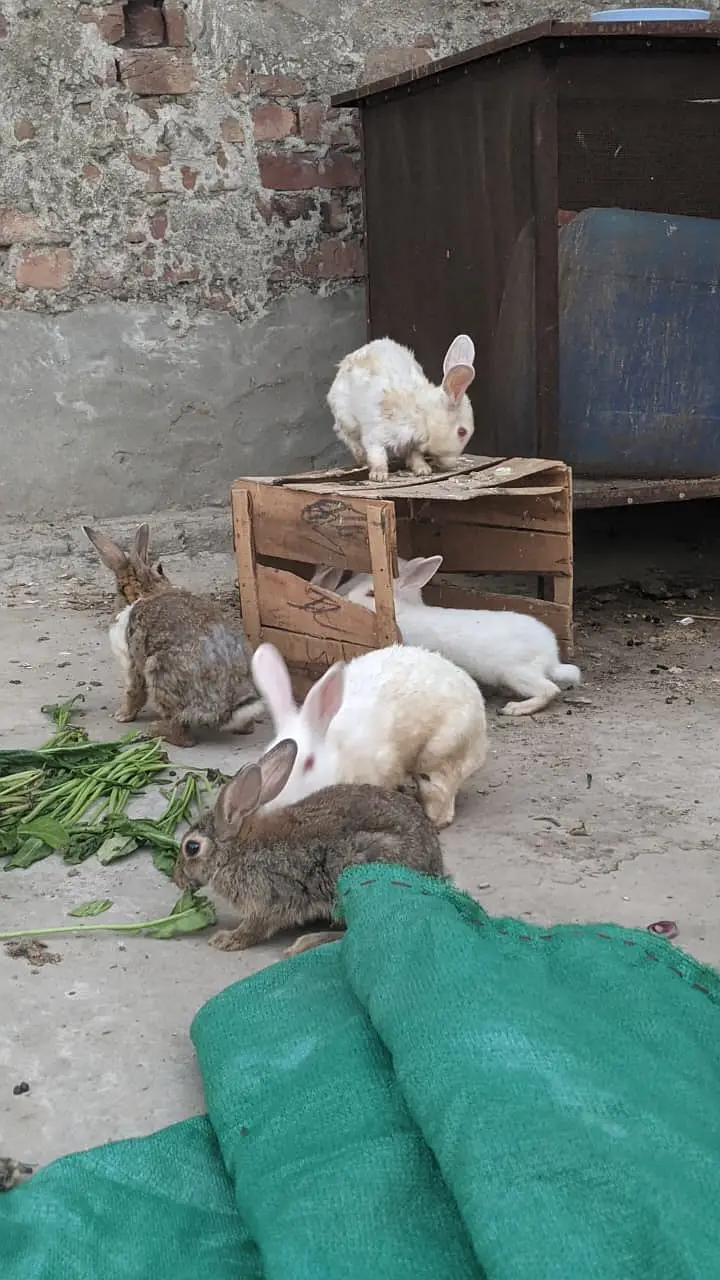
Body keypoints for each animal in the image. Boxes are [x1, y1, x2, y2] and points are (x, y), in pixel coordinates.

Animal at [82, 524, 263, 747]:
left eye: (160, 568)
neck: (145, 593)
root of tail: (226, 709)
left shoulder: (132, 663)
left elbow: (134, 692)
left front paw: (121, 716)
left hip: (157, 672)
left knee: (184, 736)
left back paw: (156, 730)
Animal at [174, 737, 444, 955]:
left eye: (192, 847)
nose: (178, 879)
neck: (235, 852)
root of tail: (435, 874)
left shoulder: (267, 900)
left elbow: (256, 928)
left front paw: (226, 940)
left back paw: (304, 943)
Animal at [327, 334, 476, 482]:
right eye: (462, 432)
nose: (451, 464)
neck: (423, 415)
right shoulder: (376, 434)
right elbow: (377, 455)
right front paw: (379, 475)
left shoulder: (412, 445)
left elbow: (415, 456)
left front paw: (423, 469)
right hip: (346, 420)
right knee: (352, 441)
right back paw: (362, 458)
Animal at [345, 555, 581, 716]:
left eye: (371, 593)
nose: (347, 597)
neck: (403, 611)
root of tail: (551, 657)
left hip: (516, 672)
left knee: (549, 689)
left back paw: (515, 708)